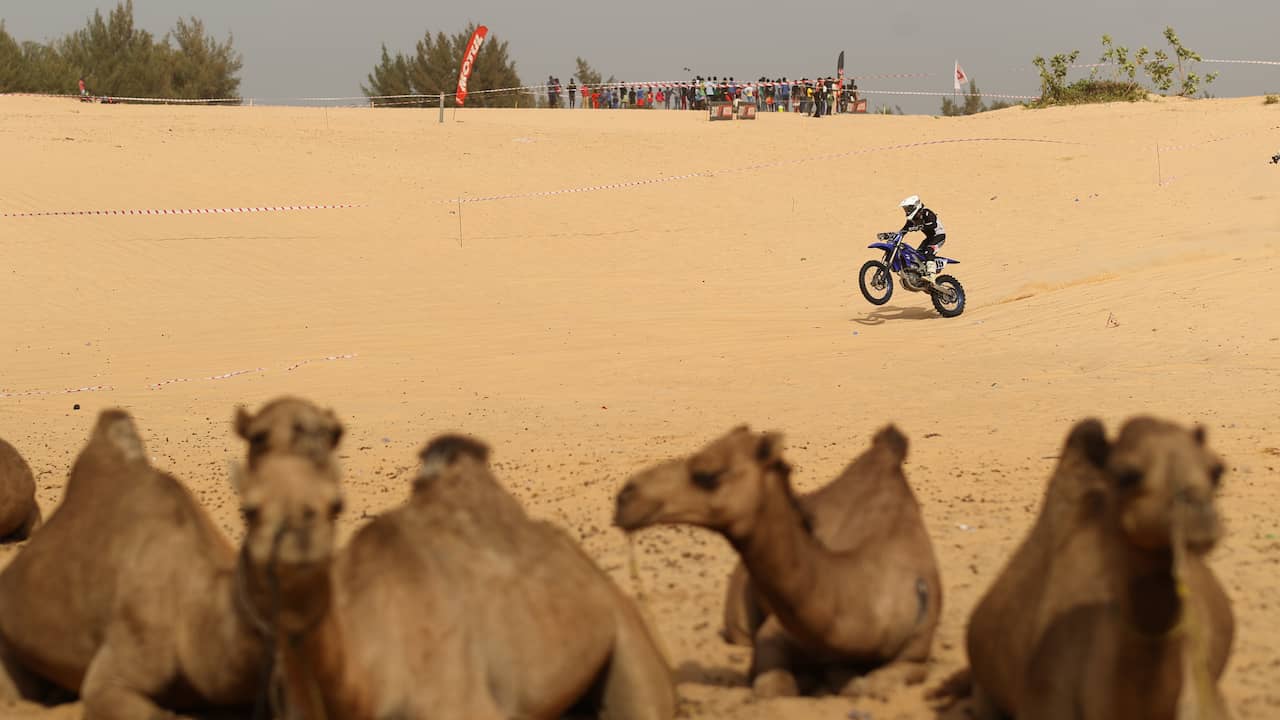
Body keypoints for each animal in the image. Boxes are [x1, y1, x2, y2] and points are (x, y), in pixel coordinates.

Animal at [614, 422, 947, 696]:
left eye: (707, 475)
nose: (624, 497)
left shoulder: (916, 651)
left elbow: (870, 684)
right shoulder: (773, 635)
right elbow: (774, 688)